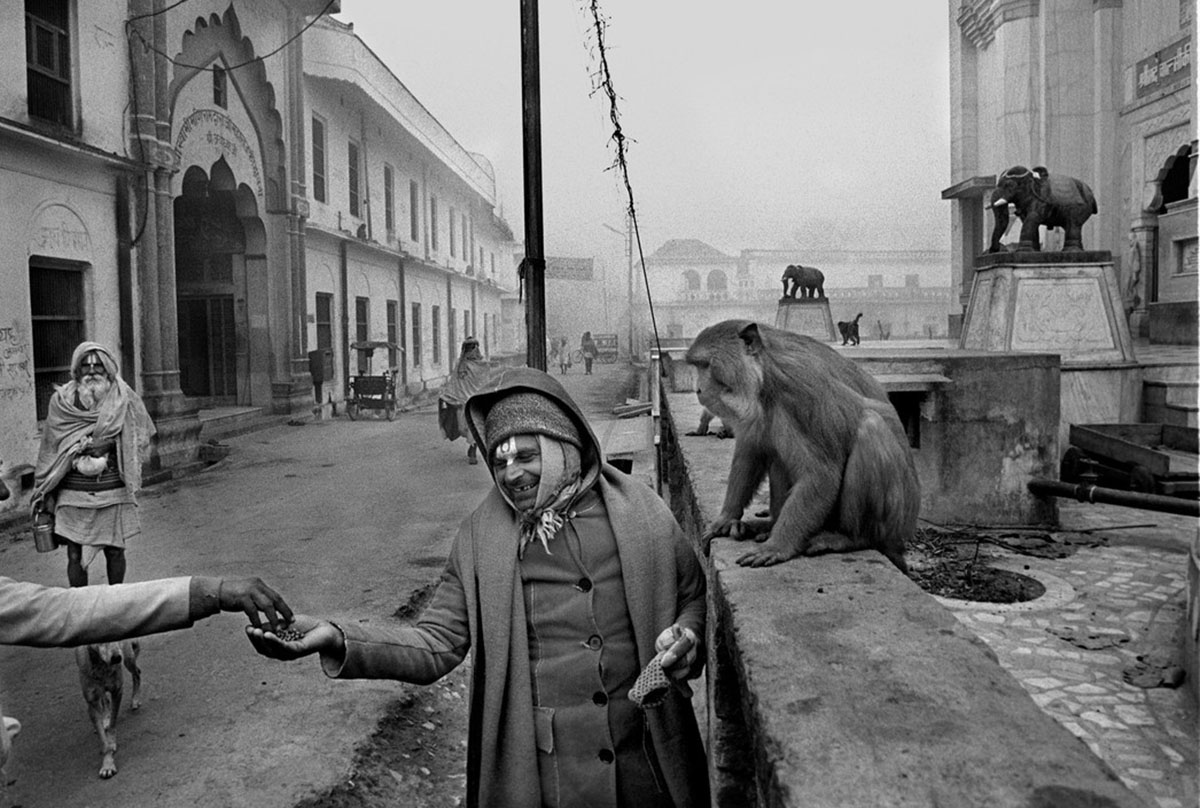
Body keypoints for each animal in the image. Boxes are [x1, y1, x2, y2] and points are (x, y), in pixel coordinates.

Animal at [75, 638, 141, 777]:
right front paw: (107, 763)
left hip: (128, 658)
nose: (116, 658)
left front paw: (111, 744)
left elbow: (112, 726)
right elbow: (103, 740)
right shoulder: (92, 703)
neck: (101, 666)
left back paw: (135, 699)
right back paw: (105, 718)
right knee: (105, 699)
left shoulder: (117, 691)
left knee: (137, 672)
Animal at [686, 319, 916, 571]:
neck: (766, 377)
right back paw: (766, 525)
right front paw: (726, 518)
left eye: (706, 365)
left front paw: (778, 545)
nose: (698, 389)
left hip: (892, 521)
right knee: (777, 454)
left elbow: (821, 474)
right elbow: (751, 452)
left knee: (870, 427)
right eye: (697, 366)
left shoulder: (802, 394)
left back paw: (852, 538)